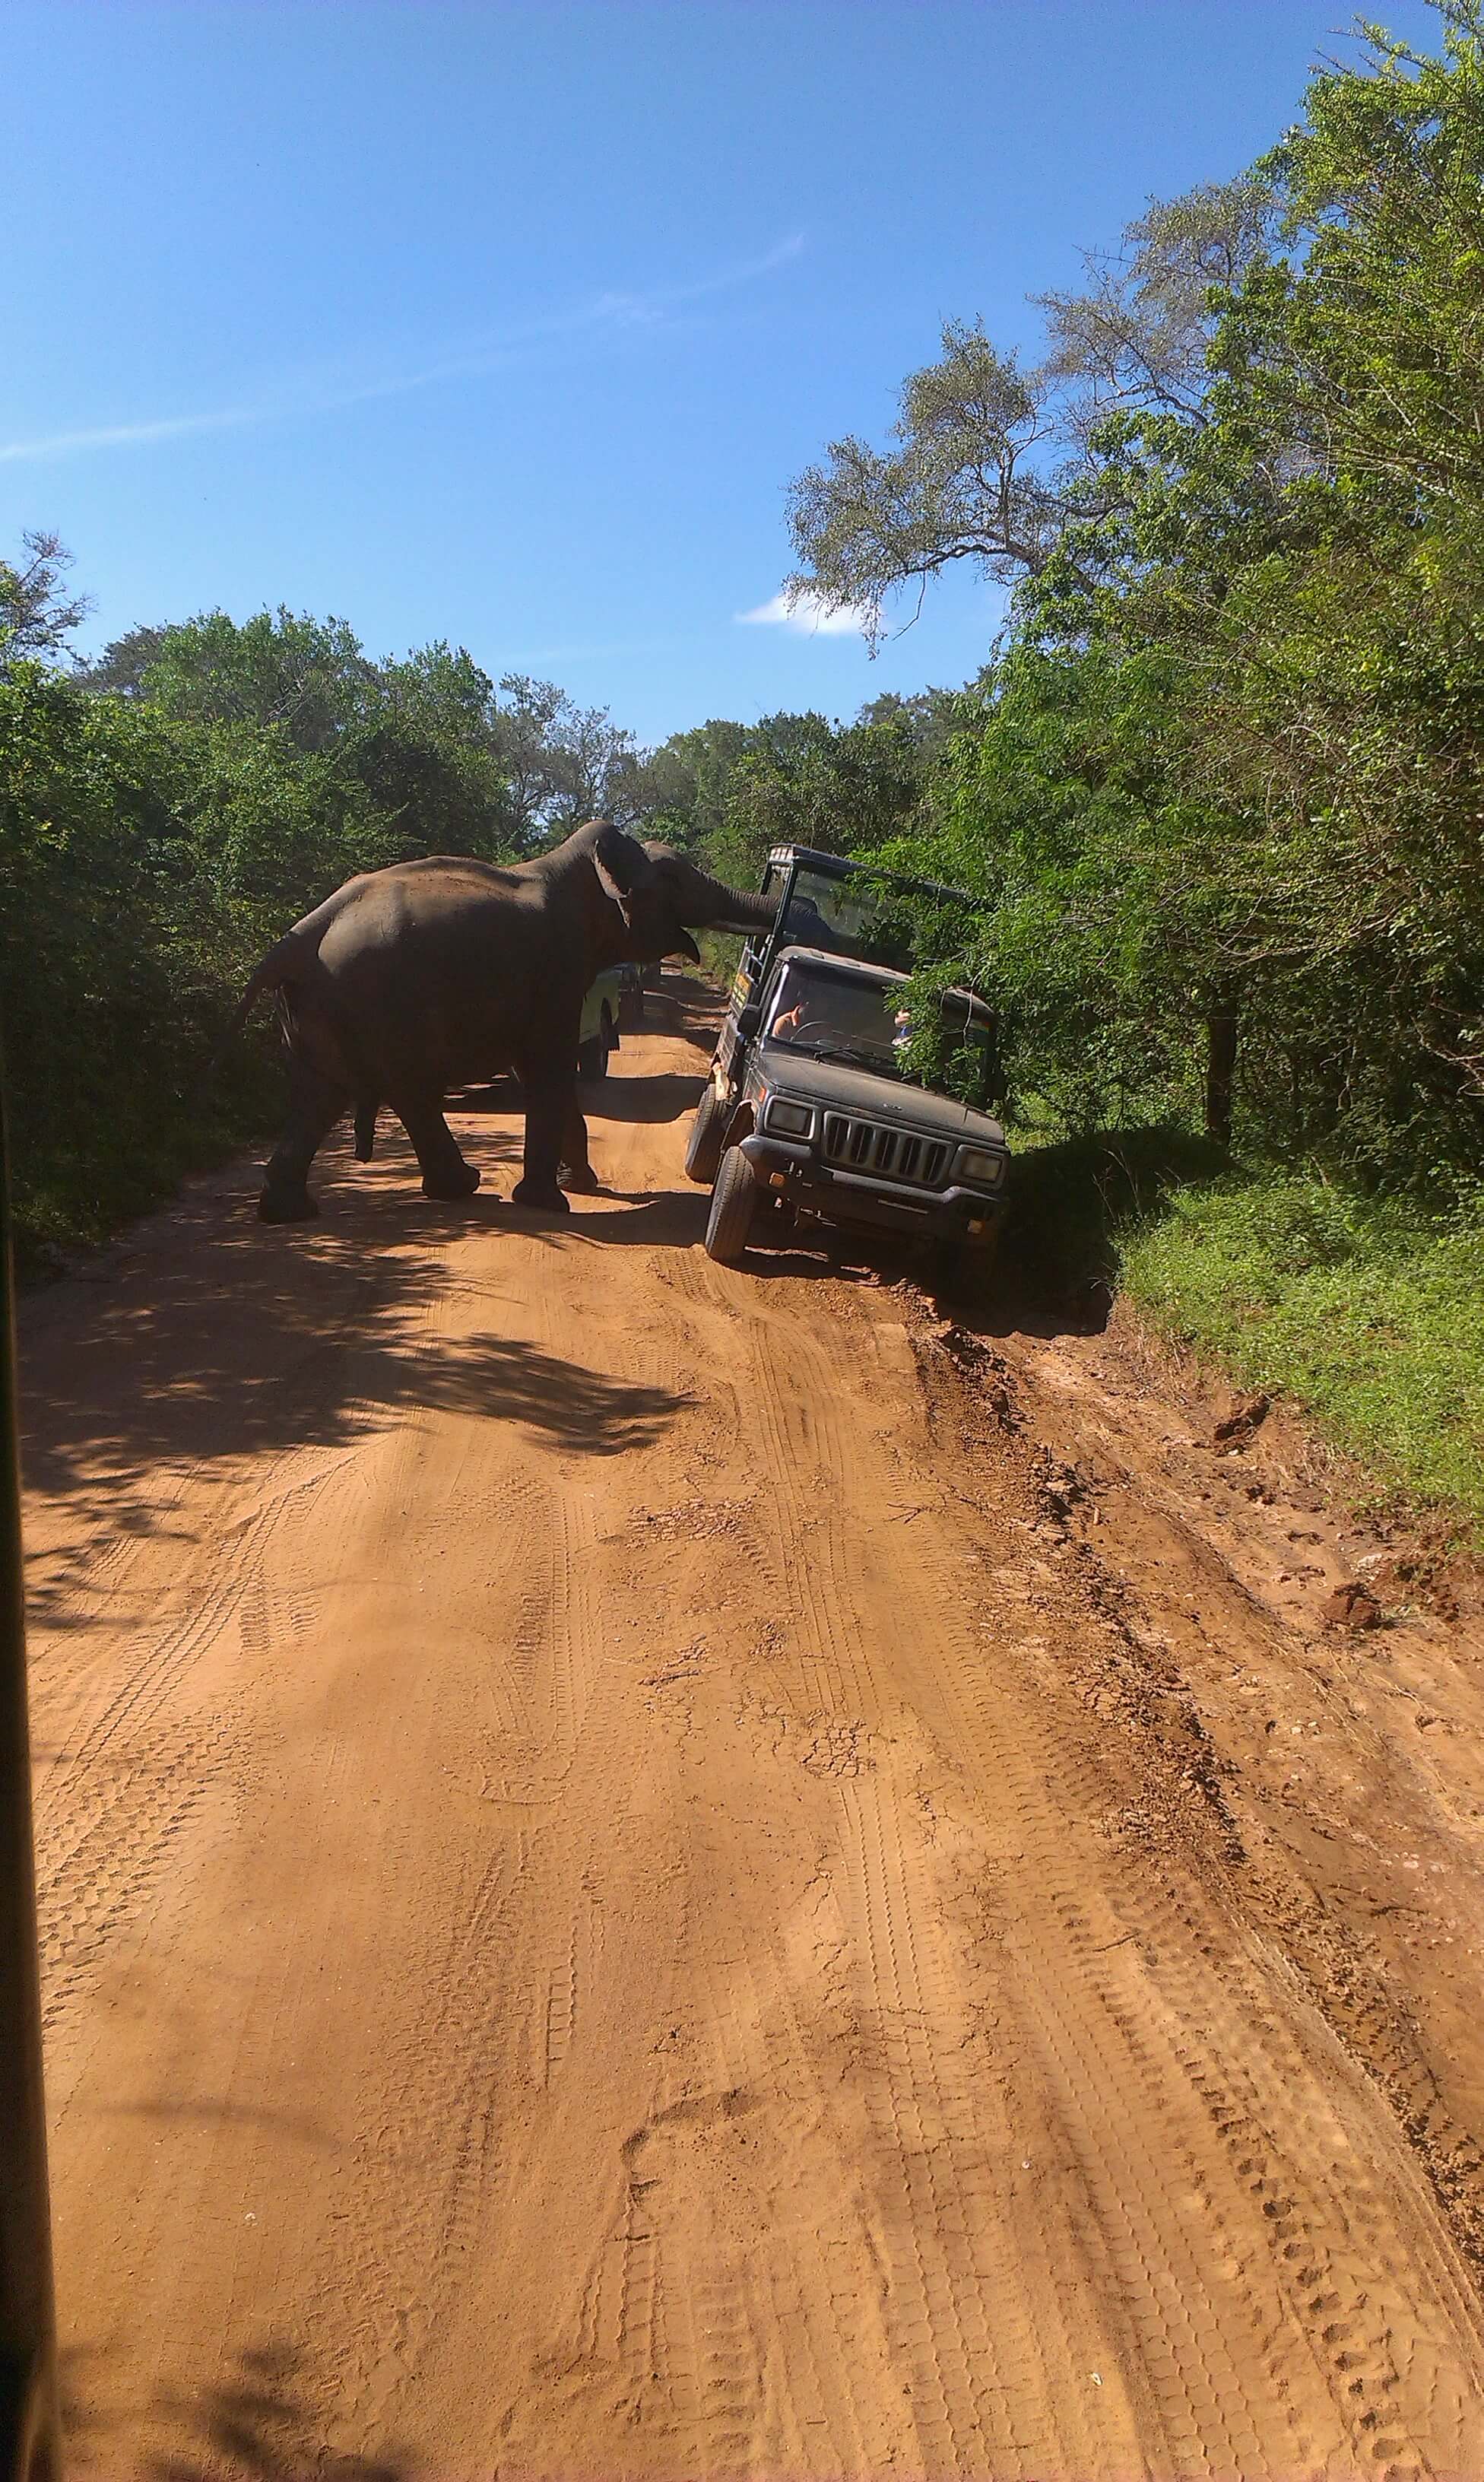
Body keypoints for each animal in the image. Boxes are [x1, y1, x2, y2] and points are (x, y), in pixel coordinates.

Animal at [230, 824, 778, 1220]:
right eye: (673, 880)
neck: (574, 868)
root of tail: (302, 934)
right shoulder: (557, 968)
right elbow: (548, 1067)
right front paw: (552, 1202)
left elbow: (539, 1073)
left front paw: (580, 1186)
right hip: (375, 1002)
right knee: (399, 1091)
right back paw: (460, 1186)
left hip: (324, 1009)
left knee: (325, 1095)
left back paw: (290, 1212)